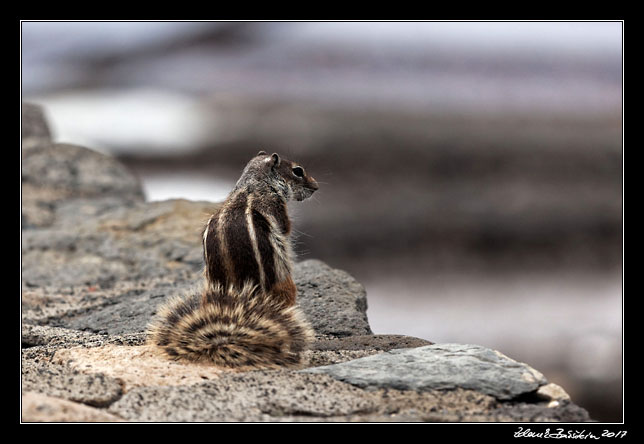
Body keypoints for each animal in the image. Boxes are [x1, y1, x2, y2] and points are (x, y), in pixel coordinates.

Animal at [145, 151, 316, 370]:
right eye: (298, 171)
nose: (315, 187)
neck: (252, 184)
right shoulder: (276, 207)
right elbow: (285, 227)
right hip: (284, 286)